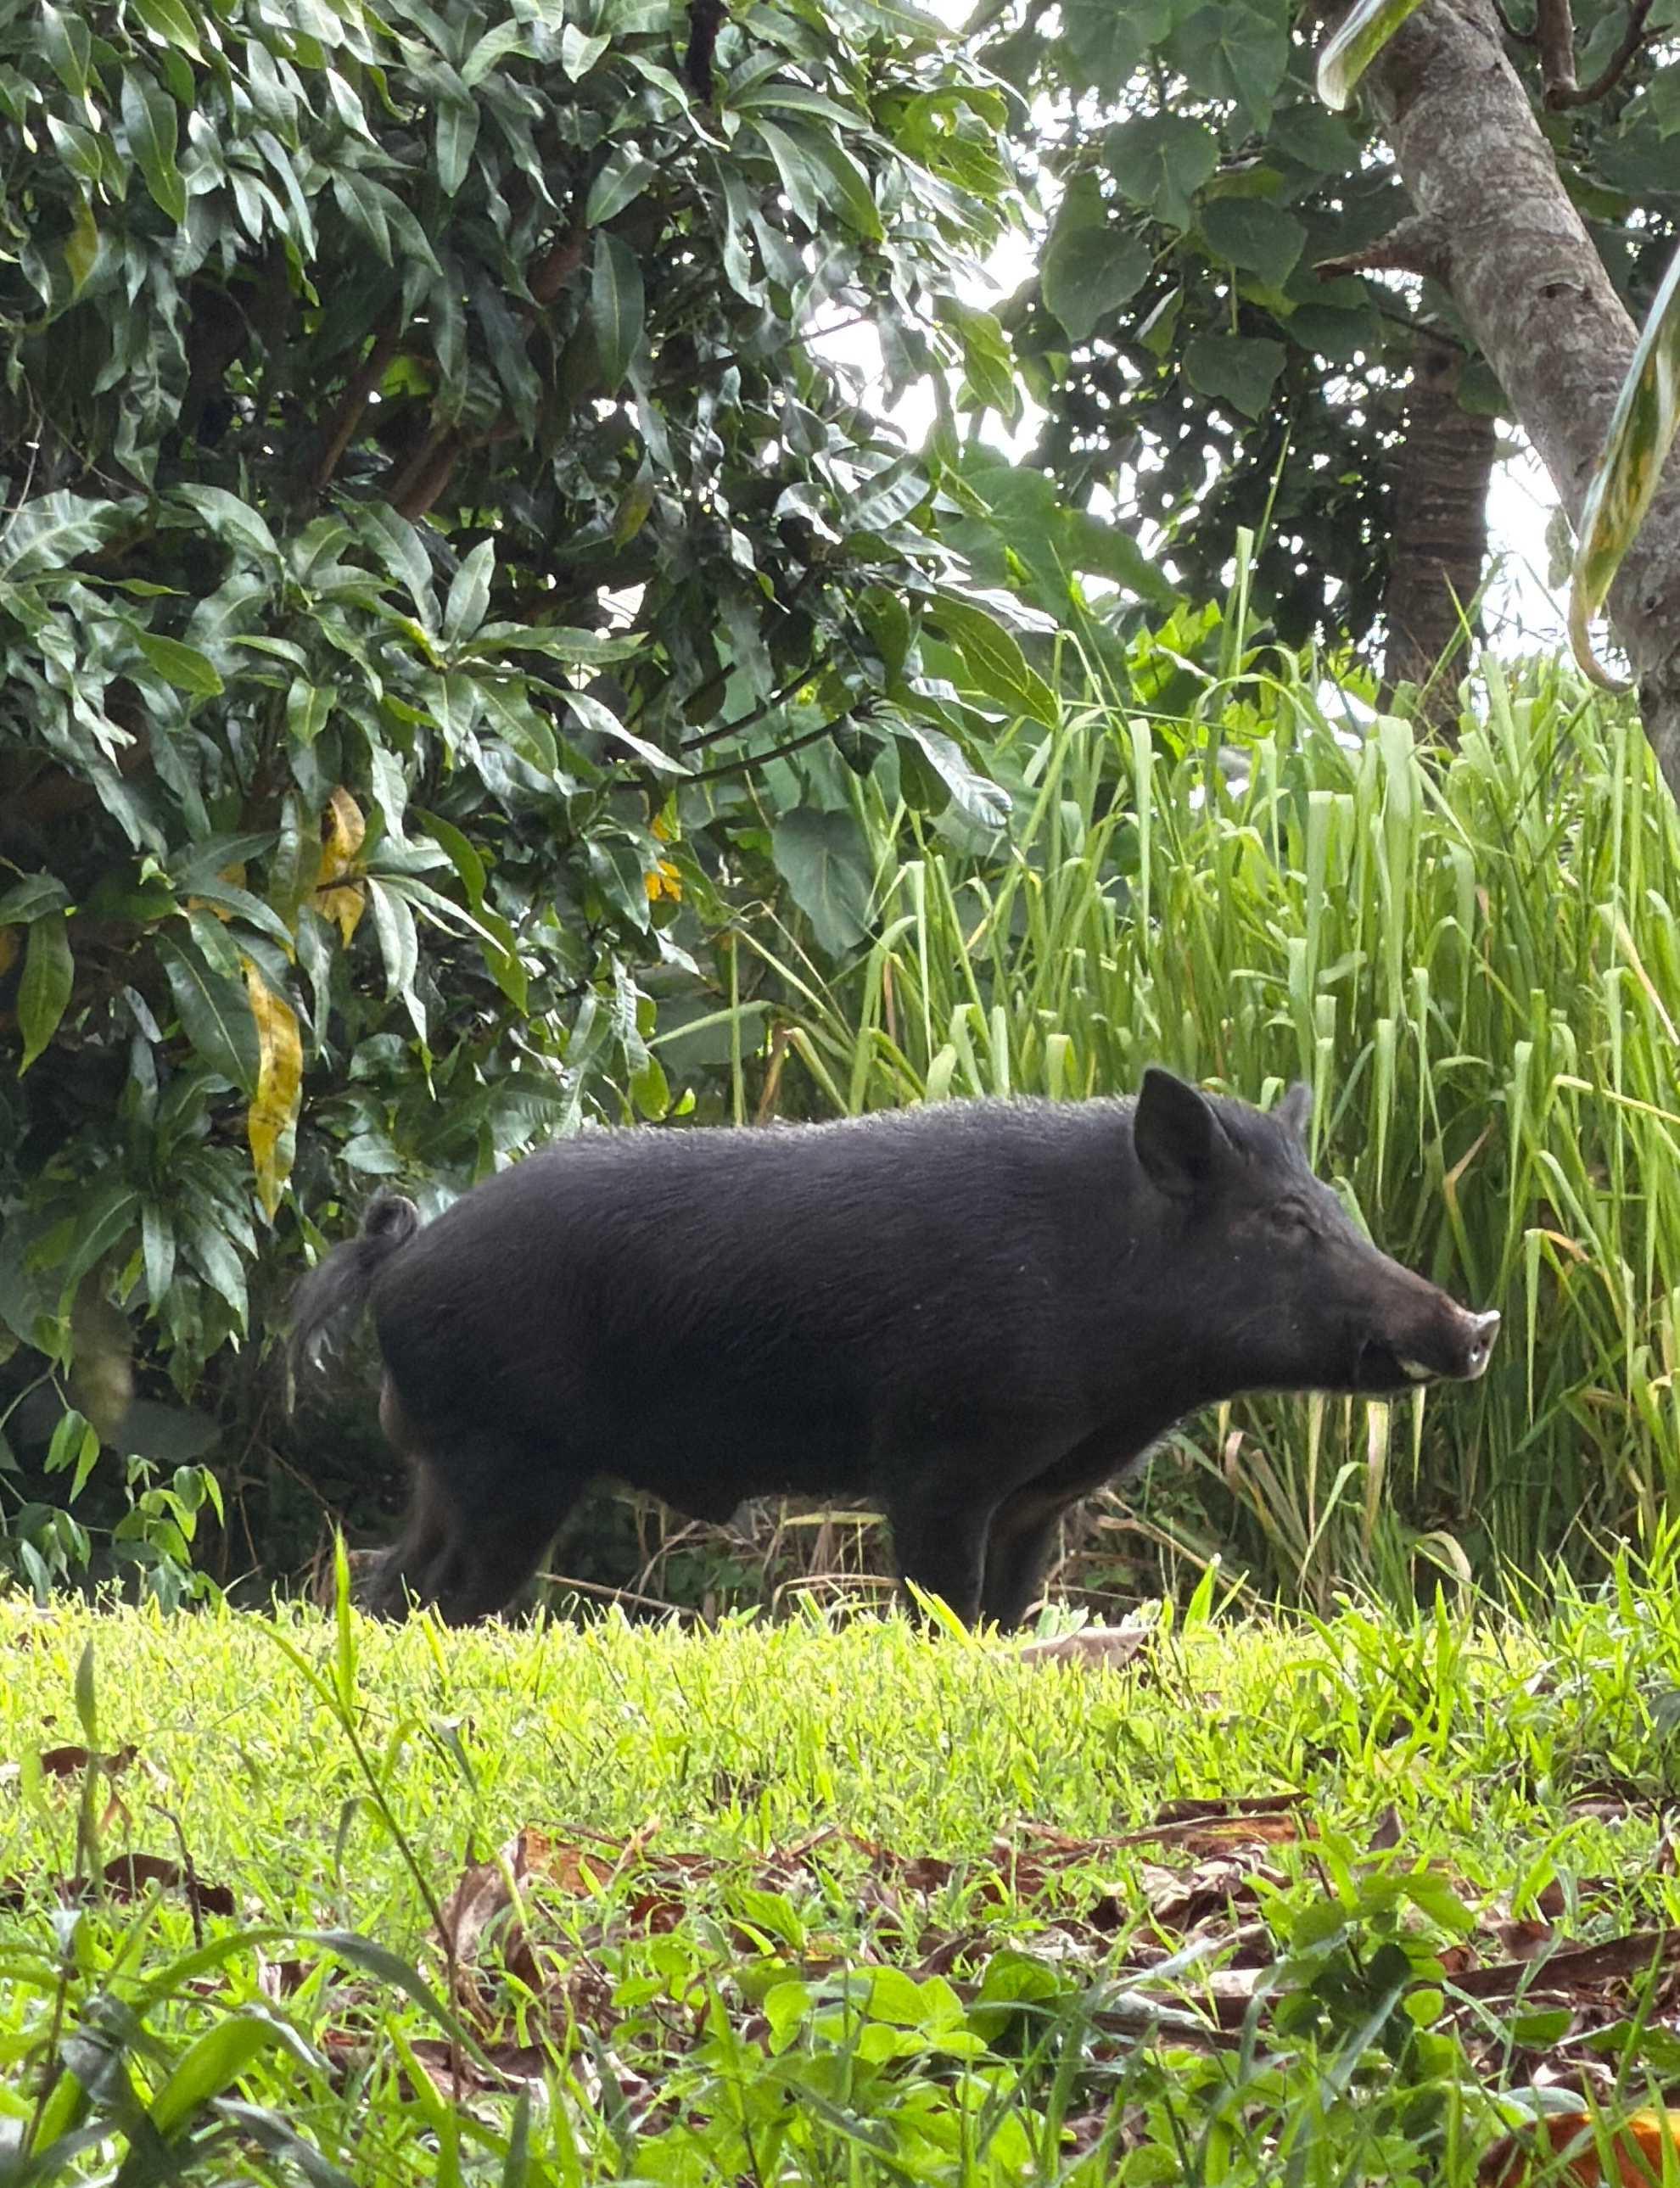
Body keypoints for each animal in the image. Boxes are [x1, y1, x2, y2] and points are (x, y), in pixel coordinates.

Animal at [288, 1069, 1499, 1628]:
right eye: (1287, 1221)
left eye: (1331, 1202)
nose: (1476, 1325)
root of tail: (405, 1257)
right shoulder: (937, 1455)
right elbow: (942, 1605)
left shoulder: (1039, 1497)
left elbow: (1009, 1615)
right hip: (506, 1459)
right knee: (441, 1591)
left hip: (451, 1467)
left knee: (388, 1575)